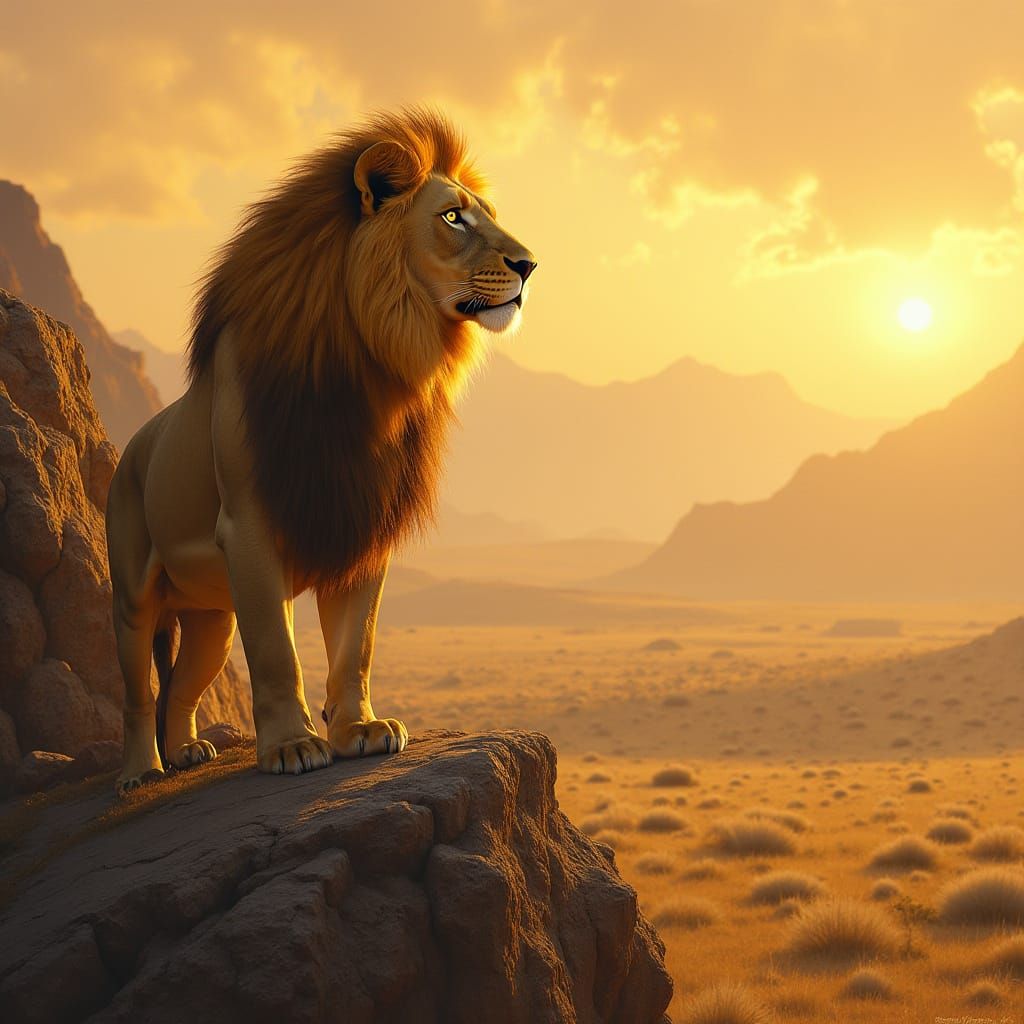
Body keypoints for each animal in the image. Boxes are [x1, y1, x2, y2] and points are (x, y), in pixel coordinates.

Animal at [106, 106, 537, 796]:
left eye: (487, 213)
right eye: (453, 218)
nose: (529, 264)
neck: (370, 364)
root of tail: (132, 448)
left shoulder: (364, 518)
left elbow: (354, 645)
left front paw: (360, 731)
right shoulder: (249, 526)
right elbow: (278, 653)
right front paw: (292, 746)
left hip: (211, 621)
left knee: (182, 686)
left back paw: (188, 752)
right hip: (135, 594)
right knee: (137, 691)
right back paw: (141, 771)